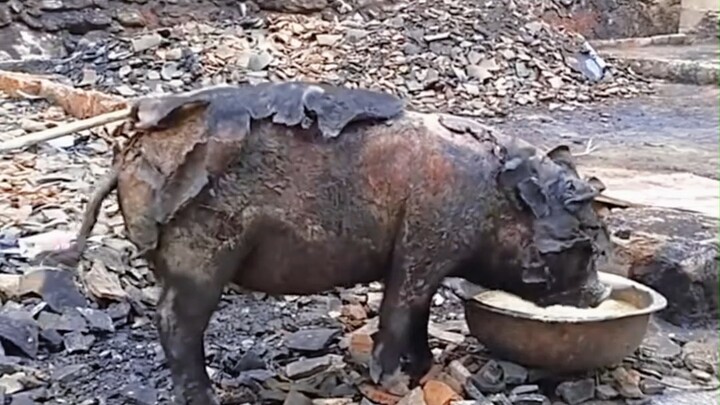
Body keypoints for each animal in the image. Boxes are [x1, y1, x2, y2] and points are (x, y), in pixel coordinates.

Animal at [38, 82, 612, 405]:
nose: (602, 292)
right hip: (199, 256)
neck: (493, 199)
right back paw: (204, 398)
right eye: (583, 243)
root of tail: (126, 153)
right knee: (175, 322)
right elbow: (399, 309)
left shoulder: (427, 254)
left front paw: (423, 369)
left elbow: (421, 312)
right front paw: (391, 385)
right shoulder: (425, 242)